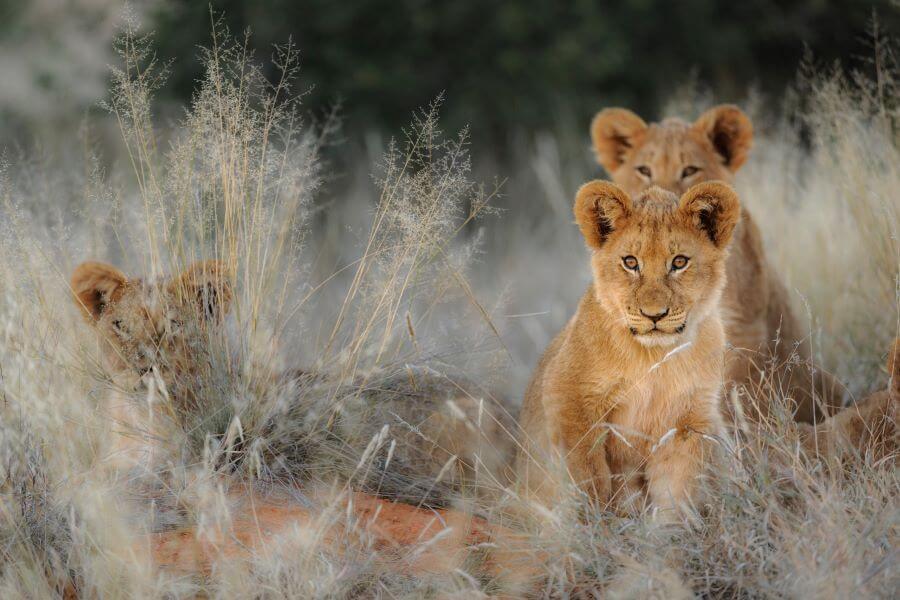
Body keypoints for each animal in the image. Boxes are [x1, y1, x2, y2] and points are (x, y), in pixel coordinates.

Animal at [517, 180, 741, 521]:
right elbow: (587, 477)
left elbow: (677, 489)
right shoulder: (568, 399)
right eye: (630, 262)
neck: (653, 357)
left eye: (679, 262)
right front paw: (594, 526)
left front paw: (669, 531)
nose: (654, 315)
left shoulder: (690, 421)